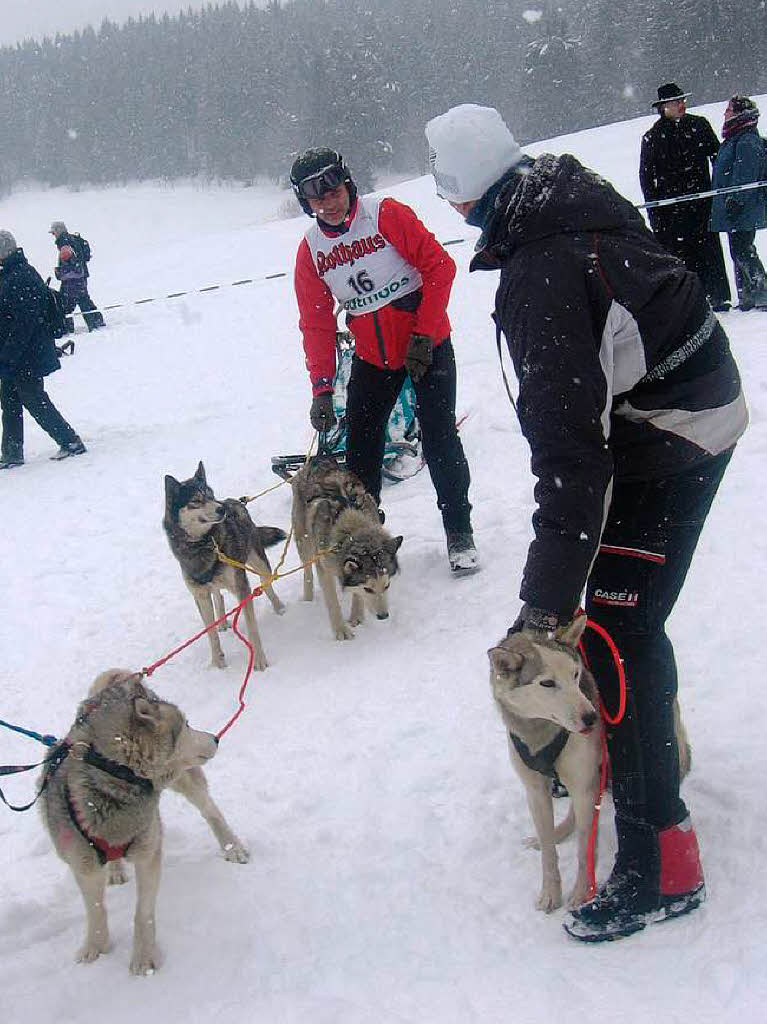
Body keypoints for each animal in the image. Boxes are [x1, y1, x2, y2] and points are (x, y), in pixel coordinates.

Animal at [38, 667, 248, 970]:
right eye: (187, 725)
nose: (215, 738)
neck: (115, 773)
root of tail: (118, 679)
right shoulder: (82, 864)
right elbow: (96, 909)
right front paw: (96, 947)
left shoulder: (148, 851)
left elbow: (143, 912)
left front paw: (144, 957)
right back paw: (115, 871)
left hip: (185, 780)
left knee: (210, 810)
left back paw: (232, 847)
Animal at [164, 462, 286, 671]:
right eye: (196, 500)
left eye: (211, 495)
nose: (222, 509)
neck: (203, 545)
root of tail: (235, 502)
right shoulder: (200, 596)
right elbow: (210, 632)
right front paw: (217, 662)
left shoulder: (241, 587)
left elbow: (252, 627)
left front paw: (259, 660)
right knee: (218, 594)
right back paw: (221, 621)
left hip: (259, 563)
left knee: (267, 585)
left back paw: (278, 607)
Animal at [288, 456, 407, 638]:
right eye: (368, 589)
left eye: (387, 586)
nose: (383, 616)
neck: (351, 526)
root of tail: (318, 459)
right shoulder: (326, 570)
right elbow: (333, 602)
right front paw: (341, 631)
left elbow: (356, 595)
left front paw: (356, 617)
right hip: (304, 541)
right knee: (308, 571)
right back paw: (308, 598)